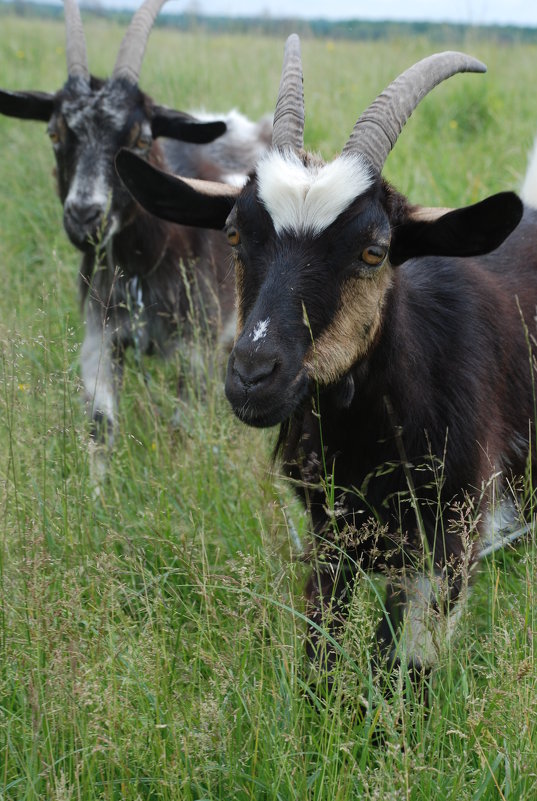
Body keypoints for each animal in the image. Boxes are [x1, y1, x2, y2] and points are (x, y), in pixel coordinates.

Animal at [0, 0, 272, 478]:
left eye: (142, 138)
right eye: (55, 133)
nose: (84, 216)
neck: (147, 263)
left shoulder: (195, 348)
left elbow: (182, 428)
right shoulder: (101, 336)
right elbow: (100, 423)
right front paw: (95, 493)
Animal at [114, 36, 532, 688]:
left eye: (375, 250)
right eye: (233, 233)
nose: (253, 375)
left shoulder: (453, 538)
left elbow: (403, 671)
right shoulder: (329, 530)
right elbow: (321, 649)